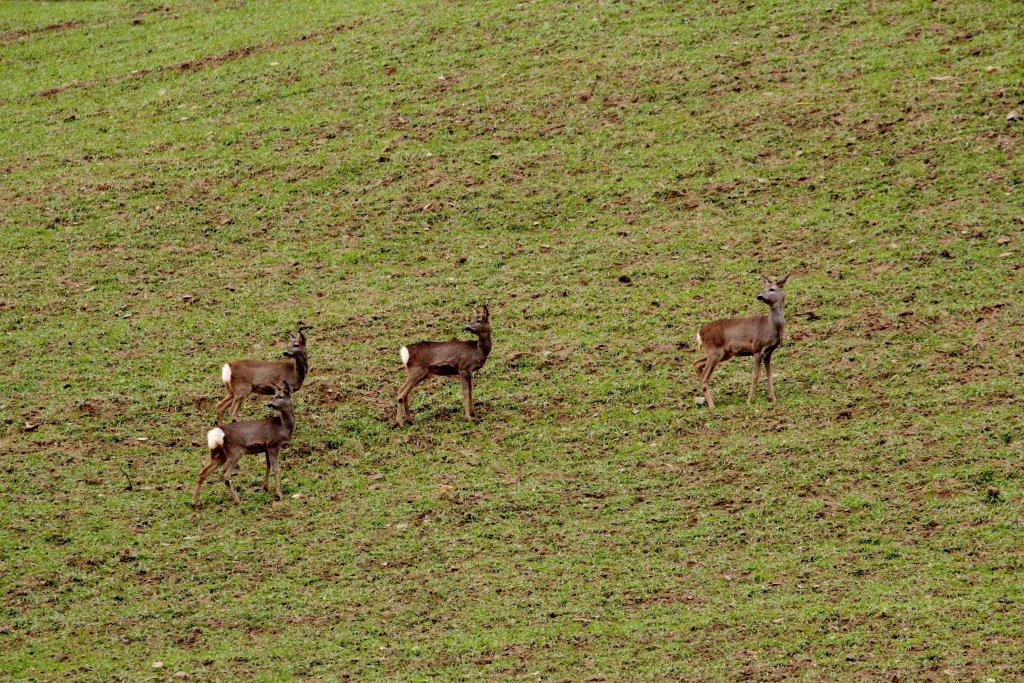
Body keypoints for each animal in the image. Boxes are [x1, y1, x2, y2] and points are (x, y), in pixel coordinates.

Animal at [696, 274, 790, 411]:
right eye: (764, 288)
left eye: (772, 289)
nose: (759, 296)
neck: (771, 326)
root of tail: (699, 333)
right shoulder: (757, 348)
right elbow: (755, 376)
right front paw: (749, 402)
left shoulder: (768, 352)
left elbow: (769, 375)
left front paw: (773, 399)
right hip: (715, 351)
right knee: (704, 377)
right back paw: (712, 406)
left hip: (722, 354)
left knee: (696, 363)